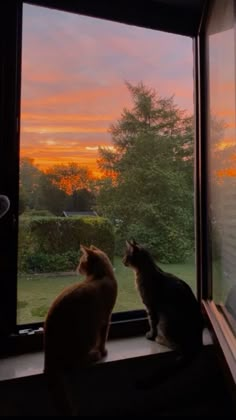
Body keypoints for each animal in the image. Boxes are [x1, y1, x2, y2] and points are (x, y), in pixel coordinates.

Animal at [43, 244, 117, 372]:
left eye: (81, 262)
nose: (77, 268)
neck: (101, 275)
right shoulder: (106, 318)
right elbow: (103, 339)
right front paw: (103, 351)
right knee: (76, 362)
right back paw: (95, 355)